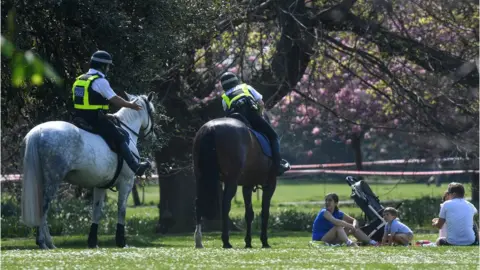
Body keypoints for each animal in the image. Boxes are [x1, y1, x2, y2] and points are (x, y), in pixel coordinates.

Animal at [21, 92, 156, 248]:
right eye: (152, 111)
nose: (153, 135)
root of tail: (38, 132)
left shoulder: (100, 185)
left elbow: (96, 212)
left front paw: (92, 242)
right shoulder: (126, 183)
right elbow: (121, 210)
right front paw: (121, 242)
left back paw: (48, 243)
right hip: (53, 180)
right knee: (43, 207)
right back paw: (44, 242)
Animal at [191, 116, 274, 249]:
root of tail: (211, 128)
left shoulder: (248, 185)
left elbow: (249, 214)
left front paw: (248, 241)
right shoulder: (270, 185)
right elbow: (264, 212)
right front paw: (264, 241)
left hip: (199, 177)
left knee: (199, 203)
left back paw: (198, 240)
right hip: (232, 181)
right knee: (225, 205)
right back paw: (226, 241)